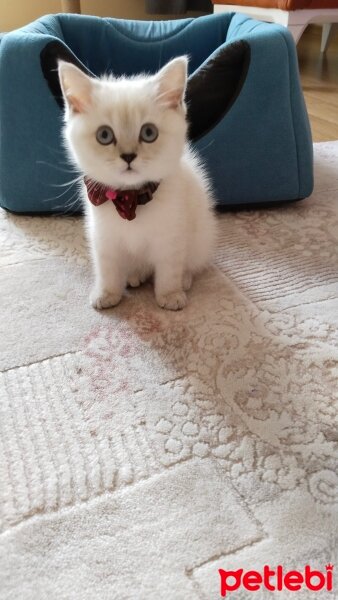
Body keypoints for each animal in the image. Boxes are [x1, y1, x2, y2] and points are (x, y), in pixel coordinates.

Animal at [58, 56, 217, 312]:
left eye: (149, 133)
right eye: (104, 135)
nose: (129, 156)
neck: (130, 198)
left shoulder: (171, 236)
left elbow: (169, 269)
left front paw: (170, 295)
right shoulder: (104, 237)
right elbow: (107, 269)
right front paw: (107, 294)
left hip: (200, 236)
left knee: (189, 263)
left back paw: (183, 280)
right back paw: (134, 276)